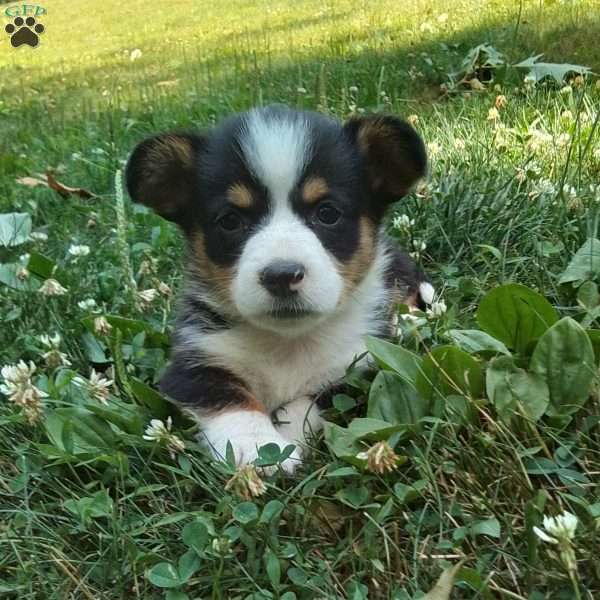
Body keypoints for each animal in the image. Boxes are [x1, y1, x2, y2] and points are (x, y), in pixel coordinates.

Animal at [125, 106, 432, 474]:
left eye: (327, 213)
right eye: (230, 220)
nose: (282, 275)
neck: (287, 342)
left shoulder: (357, 368)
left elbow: (307, 401)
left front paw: (285, 436)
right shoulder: (192, 365)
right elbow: (230, 399)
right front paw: (255, 445)